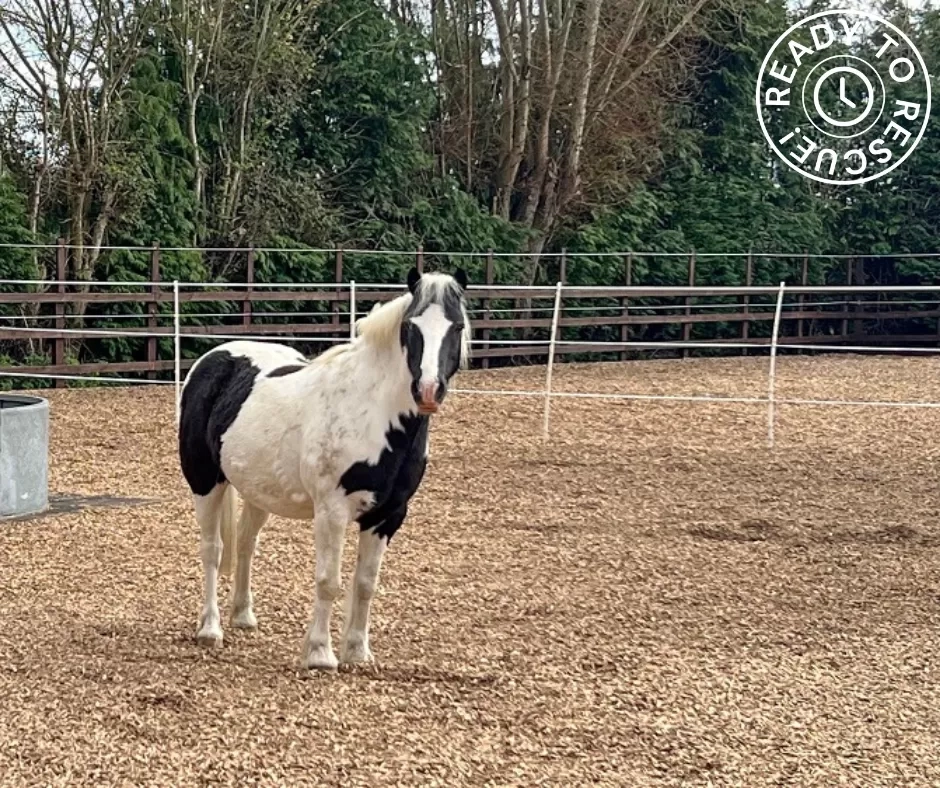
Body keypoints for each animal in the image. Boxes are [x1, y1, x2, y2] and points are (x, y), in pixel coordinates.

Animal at [177, 267, 470, 670]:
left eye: (457, 326)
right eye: (411, 326)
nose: (428, 391)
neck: (373, 413)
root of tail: (213, 359)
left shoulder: (389, 515)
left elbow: (366, 583)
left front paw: (358, 652)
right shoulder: (332, 512)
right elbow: (328, 581)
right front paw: (320, 653)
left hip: (258, 491)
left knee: (246, 544)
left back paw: (243, 616)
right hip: (205, 481)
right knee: (212, 549)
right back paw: (210, 629)